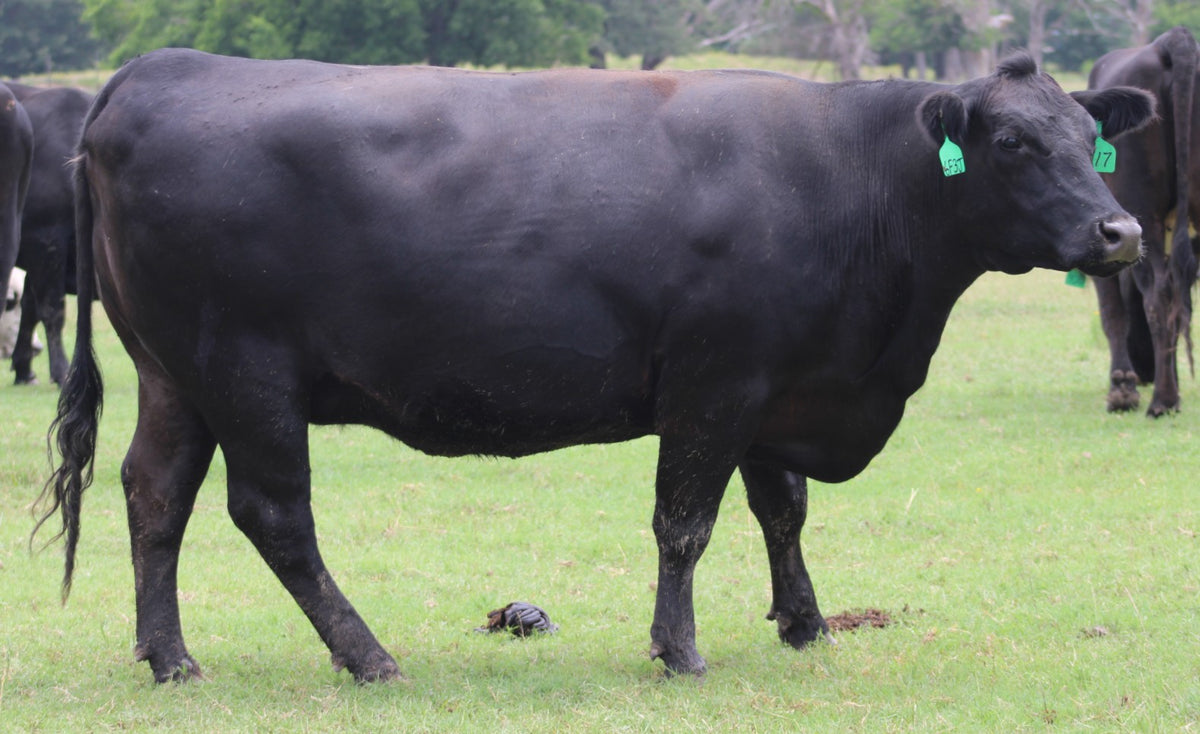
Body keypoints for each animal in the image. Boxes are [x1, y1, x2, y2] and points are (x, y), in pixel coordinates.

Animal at [4, 83, 93, 385]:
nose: (37, 349)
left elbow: (30, 310)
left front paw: (23, 367)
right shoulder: (47, 244)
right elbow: (52, 311)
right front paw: (62, 370)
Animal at [38, 48, 1154, 684]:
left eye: (1091, 136)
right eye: (1011, 143)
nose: (1122, 231)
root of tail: (154, 72)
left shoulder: (778, 383)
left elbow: (783, 510)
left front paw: (805, 624)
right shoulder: (715, 382)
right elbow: (686, 522)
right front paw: (680, 650)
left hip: (176, 376)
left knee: (154, 494)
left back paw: (170, 657)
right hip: (248, 371)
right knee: (272, 515)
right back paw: (368, 656)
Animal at [1089, 26, 1199, 416]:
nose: (1145, 370)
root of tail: (1173, 40)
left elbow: (1112, 312)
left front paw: (1122, 388)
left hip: (1143, 212)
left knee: (1160, 294)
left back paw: (1161, 401)